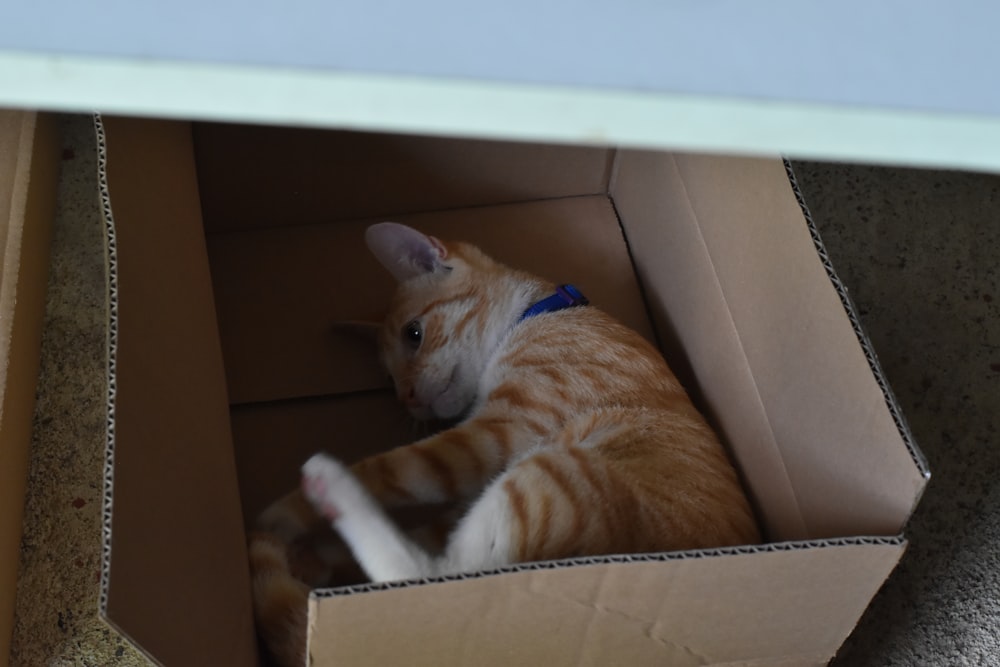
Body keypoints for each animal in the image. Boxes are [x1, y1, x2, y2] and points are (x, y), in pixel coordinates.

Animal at [248, 223, 756, 667]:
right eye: (389, 381)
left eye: (414, 334)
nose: (408, 399)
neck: (538, 314)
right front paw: (309, 555)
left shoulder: (500, 432)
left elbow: (391, 470)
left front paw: (283, 515)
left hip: (556, 479)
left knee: (428, 575)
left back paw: (326, 487)